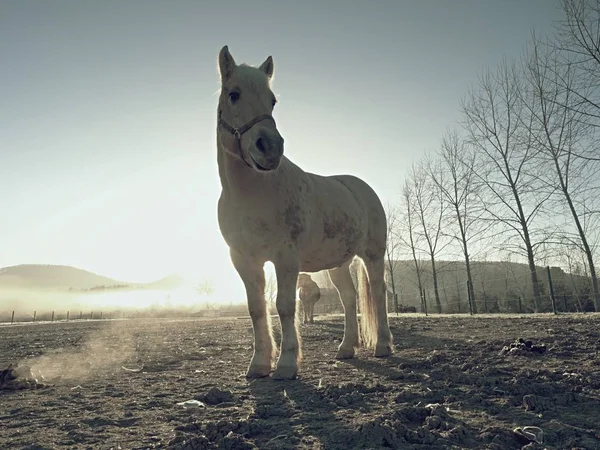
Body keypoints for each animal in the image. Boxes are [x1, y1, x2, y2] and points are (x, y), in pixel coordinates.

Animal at [216, 45, 394, 378]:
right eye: (234, 94)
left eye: (272, 100)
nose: (269, 147)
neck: (252, 195)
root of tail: (362, 188)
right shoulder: (244, 259)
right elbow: (256, 308)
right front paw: (259, 365)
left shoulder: (286, 257)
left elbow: (285, 306)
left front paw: (286, 364)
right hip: (338, 263)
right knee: (349, 298)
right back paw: (346, 349)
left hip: (373, 255)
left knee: (378, 293)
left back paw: (383, 346)